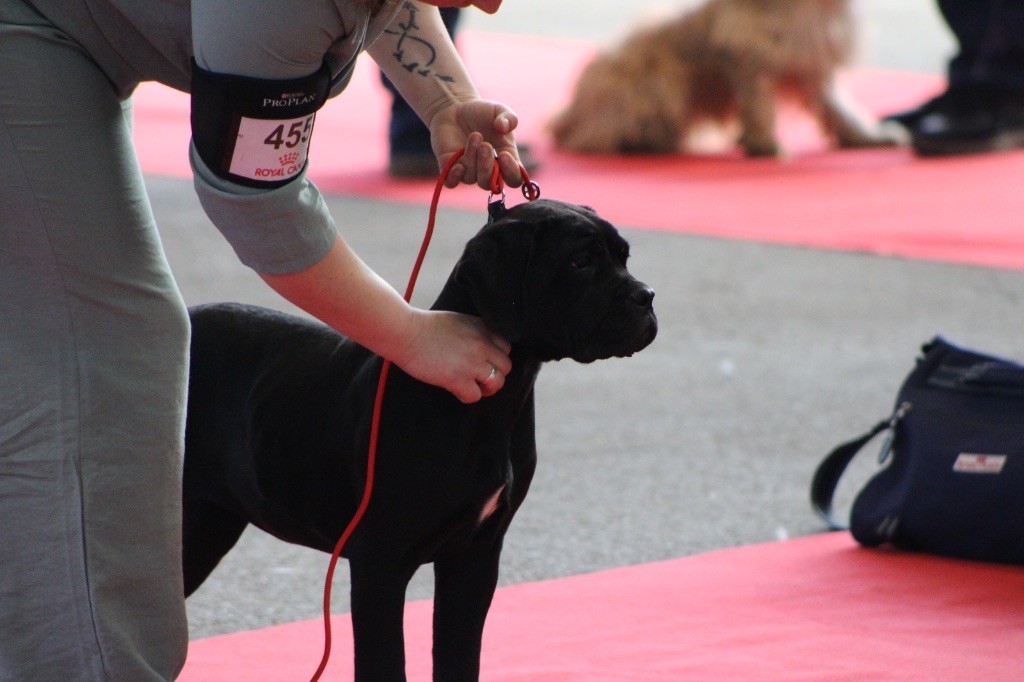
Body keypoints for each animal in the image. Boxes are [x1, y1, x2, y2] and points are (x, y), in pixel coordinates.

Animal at [182, 196, 655, 675]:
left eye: (624, 257)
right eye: (580, 262)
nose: (646, 297)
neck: (488, 406)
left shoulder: (474, 557)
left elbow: (459, 656)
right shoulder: (379, 563)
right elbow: (386, 662)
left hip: (207, 525)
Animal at [552, 0, 897, 155]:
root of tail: (569, 116)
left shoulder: (816, 66)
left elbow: (839, 109)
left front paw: (865, 137)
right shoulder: (752, 64)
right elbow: (759, 108)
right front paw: (764, 145)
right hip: (659, 80)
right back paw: (645, 142)